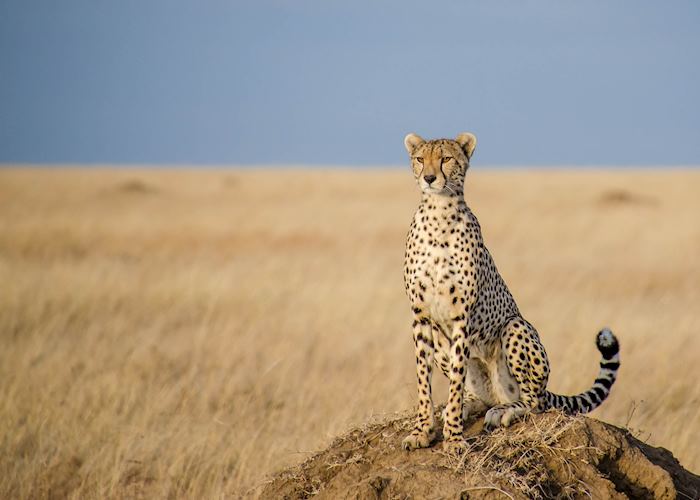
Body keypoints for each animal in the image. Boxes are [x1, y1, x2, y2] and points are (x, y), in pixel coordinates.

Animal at [401, 132, 620, 452]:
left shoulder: (461, 317)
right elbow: (423, 379)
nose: (429, 178)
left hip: (515, 328)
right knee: (479, 394)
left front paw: (453, 438)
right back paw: (470, 404)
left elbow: (454, 381)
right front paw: (422, 431)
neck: (438, 213)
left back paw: (504, 411)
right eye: (420, 159)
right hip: (445, 340)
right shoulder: (421, 316)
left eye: (446, 158)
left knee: (533, 403)